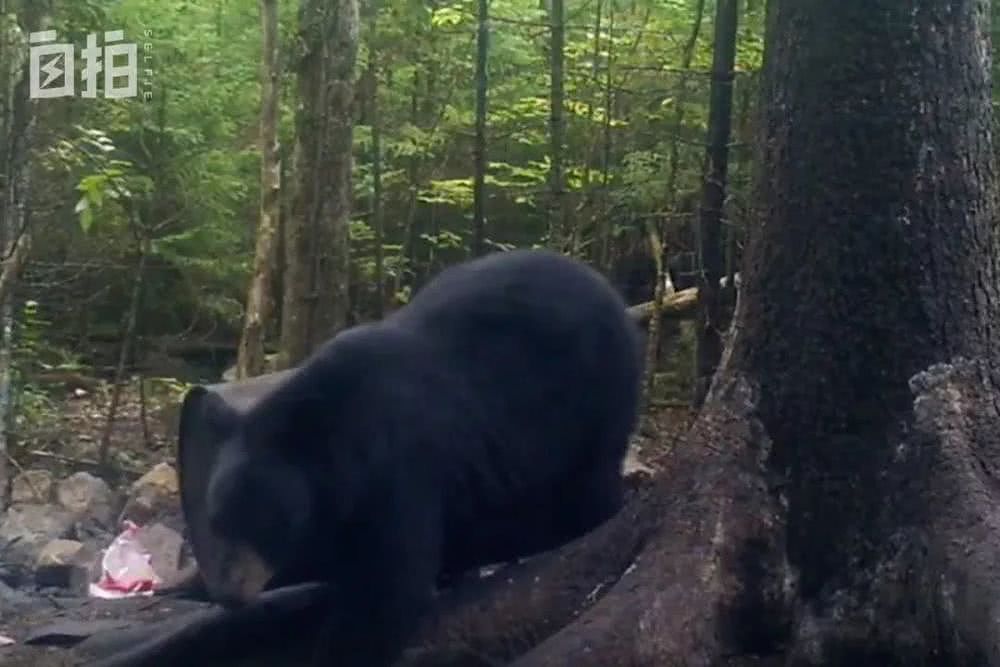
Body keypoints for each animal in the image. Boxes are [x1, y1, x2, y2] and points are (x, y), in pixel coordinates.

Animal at [97, 249, 640, 667]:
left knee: (588, 489)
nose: (230, 591)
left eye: (264, 521)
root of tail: (608, 288)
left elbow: (387, 593)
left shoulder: (401, 471)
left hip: (592, 407)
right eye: (216, 518)